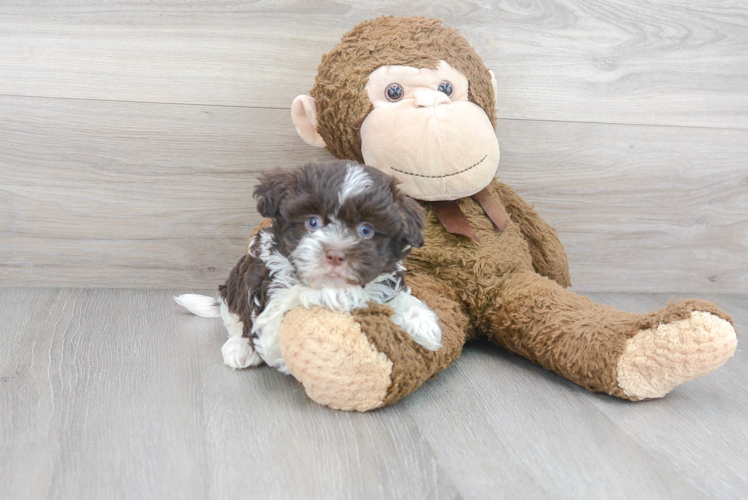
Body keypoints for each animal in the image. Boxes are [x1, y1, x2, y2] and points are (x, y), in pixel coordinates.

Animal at [174, 162, 444, 374]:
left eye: (366, 230)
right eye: (312, 222)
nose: (335, 255)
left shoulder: (387, 279)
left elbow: (397, 296)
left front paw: (424, 324)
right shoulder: (270, 298)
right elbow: (304, 297)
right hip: (236, 285)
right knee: (235, 321)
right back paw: (241, 348)